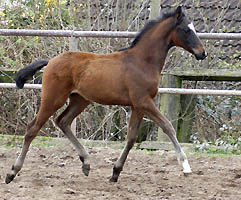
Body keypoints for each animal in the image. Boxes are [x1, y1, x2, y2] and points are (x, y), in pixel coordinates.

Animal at [6, 5, 207, 184]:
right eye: (186, 30)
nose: (202, 53)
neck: (142, 61)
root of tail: (51, 61)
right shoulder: (144, 102)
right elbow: (168, 126)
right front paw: (186, 166)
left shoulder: (137, 106)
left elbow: (131, 138)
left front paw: (115, 173)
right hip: (53, 98)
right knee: (32, 129)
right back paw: (12, 172)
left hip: (80, 100)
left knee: (63, 121)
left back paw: (86, 163)